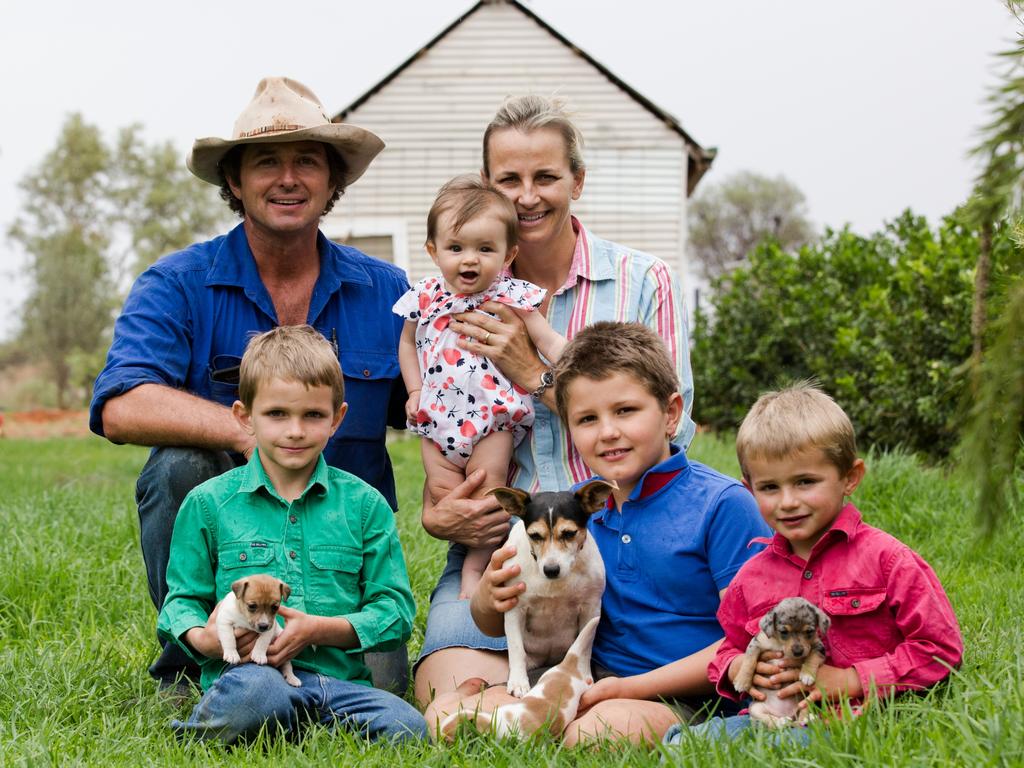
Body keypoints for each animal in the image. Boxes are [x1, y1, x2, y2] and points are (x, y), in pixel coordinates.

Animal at [485, 483, 610, 700]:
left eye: (569, 533)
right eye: (535, 535)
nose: (551, 569)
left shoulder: (591, 609)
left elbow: (584, 646)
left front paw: (583, 675)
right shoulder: (514, 608)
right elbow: (516, 648)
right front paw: (518, 682)